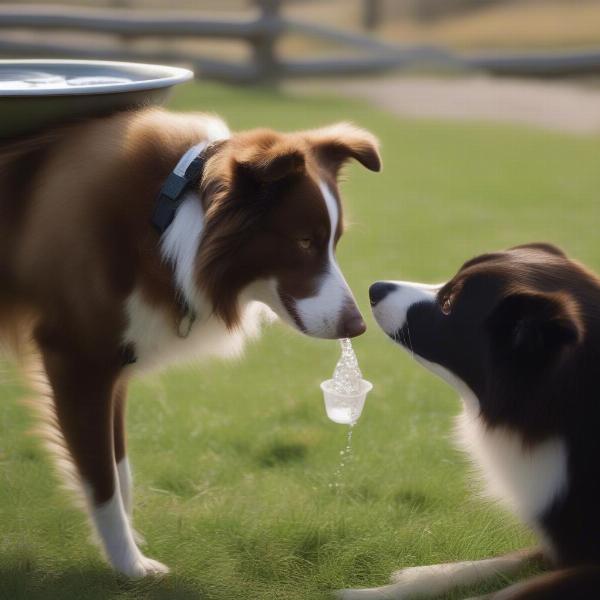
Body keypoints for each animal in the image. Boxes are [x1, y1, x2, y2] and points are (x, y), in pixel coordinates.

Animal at [1, 108, 380, 576]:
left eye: (334, 241)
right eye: (304, 241)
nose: (358, 326)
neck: (164, 223)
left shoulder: (117, 358)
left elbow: (121, 467)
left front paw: (130, 544)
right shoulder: (76, 357)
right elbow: (102, 478)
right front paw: (129, 564)